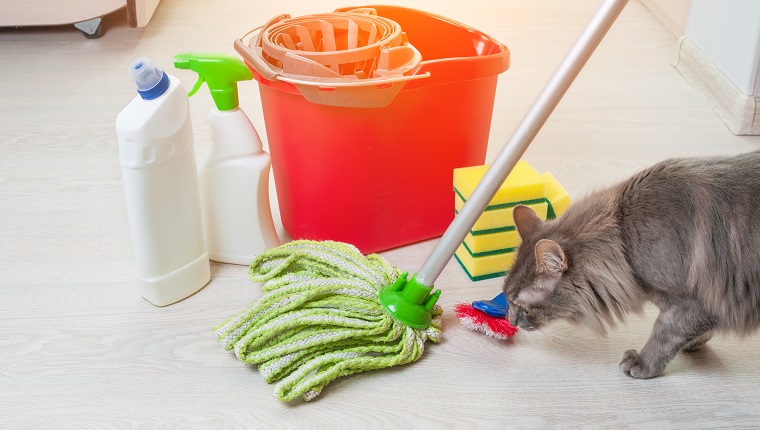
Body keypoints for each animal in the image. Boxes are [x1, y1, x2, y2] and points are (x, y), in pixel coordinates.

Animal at [504, 150, 760, 376]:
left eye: (520, 305)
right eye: (506, 299)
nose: (510, 320)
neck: (623, 237)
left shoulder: (690, 303)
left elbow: (663, 334)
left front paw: (644, 364)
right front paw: (695, 341)